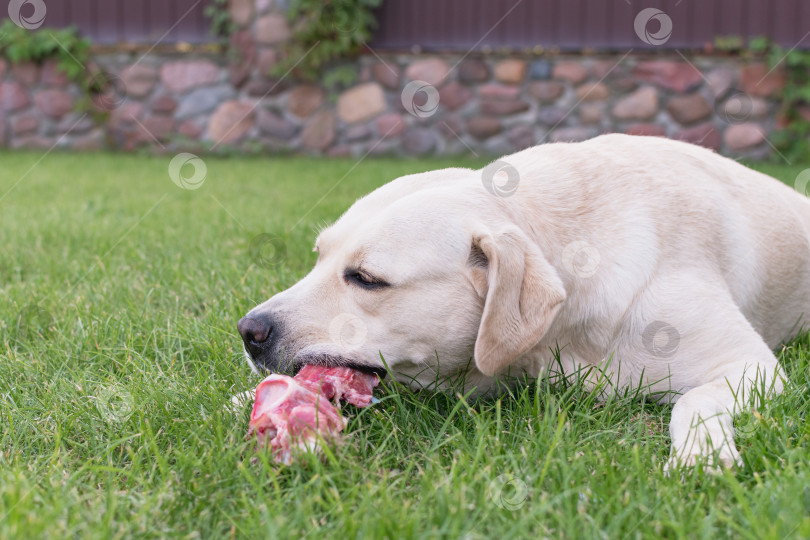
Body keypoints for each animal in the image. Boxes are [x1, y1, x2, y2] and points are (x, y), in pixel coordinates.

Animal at [237, 134, 804, 468]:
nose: (249, 331)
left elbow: (695, 399)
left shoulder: (753, 368)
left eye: (365, 278)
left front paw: (700, 454)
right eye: (318, 258)